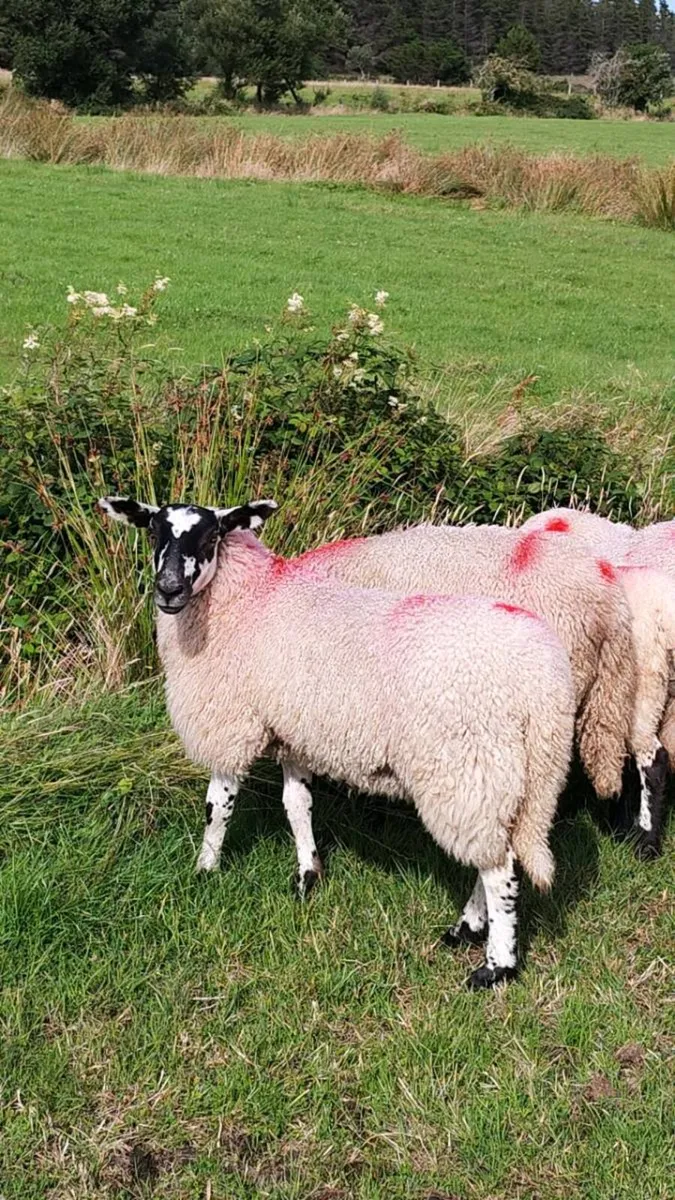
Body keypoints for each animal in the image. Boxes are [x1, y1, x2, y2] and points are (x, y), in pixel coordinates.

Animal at [99, 495, 576, 989]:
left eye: (212, 536)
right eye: (153, 531)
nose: (169, 589)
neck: (248, 599)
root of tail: (543, 680)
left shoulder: (232, 722)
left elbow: (218, 806)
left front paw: (205, 869)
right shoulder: (293, 731)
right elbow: (297, 804)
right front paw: (308, 874)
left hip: (468, 767)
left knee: (498, 871)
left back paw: (494, 963)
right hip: (513, 775)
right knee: (498, 853)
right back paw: (469, 927)